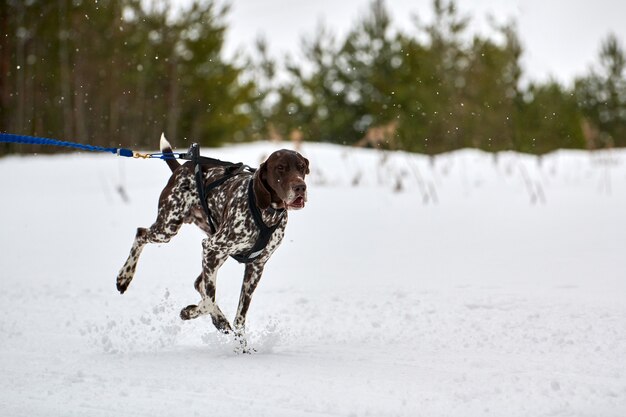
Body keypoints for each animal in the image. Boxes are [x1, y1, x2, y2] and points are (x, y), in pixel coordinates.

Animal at [115, 135, 308, 340]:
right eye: (280, 168)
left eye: (302, 167)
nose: (300, 187)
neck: (266, 212)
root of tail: (183, 167)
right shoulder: (210, 246)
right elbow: (209, 300)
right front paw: (191, 312)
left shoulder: (256, 267)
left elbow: (239, 317)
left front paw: (240, 343)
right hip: (169, 229)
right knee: (141, 233)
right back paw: (124, 277)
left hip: (216, 252)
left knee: (199, 283)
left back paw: (220, 321)